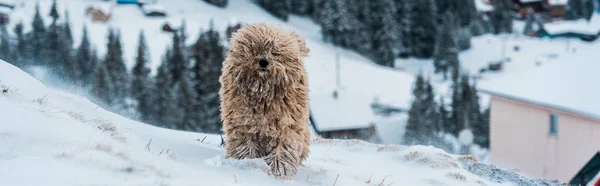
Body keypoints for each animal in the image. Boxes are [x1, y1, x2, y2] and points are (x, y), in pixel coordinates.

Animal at [220, 22, 312, 179]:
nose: (263, 61)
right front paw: (247, 162)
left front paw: (279, 169)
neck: (263, 92)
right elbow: (245, 145)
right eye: (254, 49)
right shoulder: (243, 123)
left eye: (274, 52)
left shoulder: (287, 124)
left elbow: (284, 148)